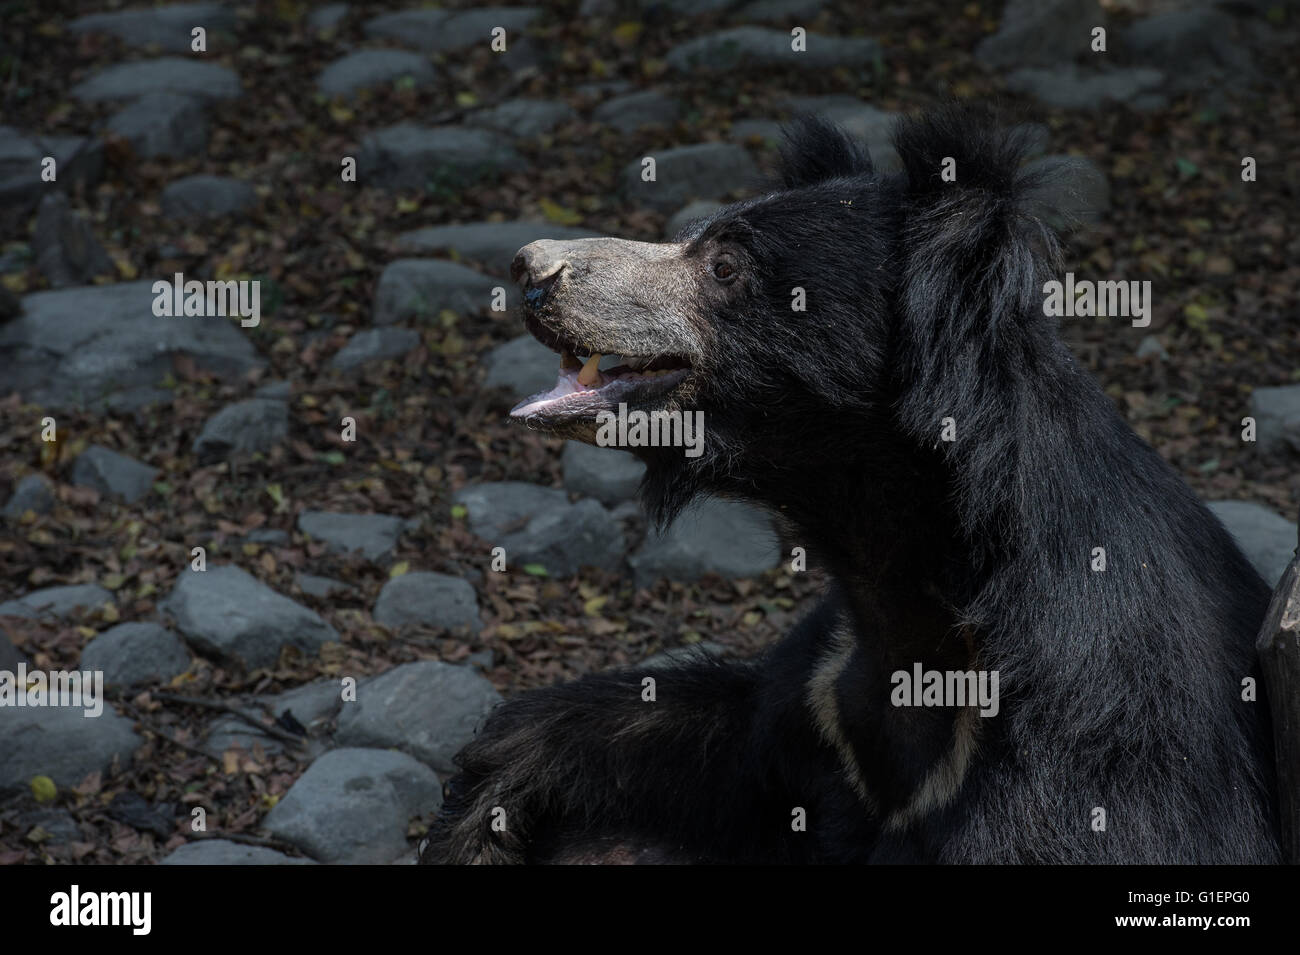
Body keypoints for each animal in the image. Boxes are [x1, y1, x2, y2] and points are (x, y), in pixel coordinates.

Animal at [423, 104, 1279, 867]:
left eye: (725, 264)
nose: (531, 267)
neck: (900, 575)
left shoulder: (1095, 723)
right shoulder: (821, 691)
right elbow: (690, 736)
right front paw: (486, 811)